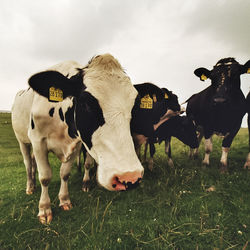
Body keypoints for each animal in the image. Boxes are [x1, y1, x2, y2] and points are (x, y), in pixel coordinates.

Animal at [11, 53, 144, 224]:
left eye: (133, 105)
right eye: (86, 103)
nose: (129, 177)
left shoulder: (76, 143)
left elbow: (65, 173)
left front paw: (64, 200)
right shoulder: (38, 140)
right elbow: (45, 176)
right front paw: (44, 209)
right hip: (22, 140)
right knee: (28, 163)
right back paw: (30, 186)